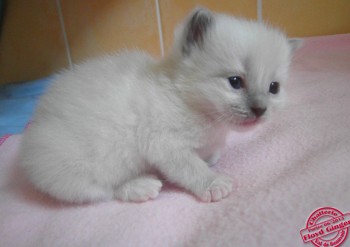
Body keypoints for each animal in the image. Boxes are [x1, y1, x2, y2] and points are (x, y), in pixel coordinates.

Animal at [19, 8, 298, 204]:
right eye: (235, 82)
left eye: (274, 87)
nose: (260, 110)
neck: (185, 97)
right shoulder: (164, 144)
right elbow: (191, 167)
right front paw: (213, 183)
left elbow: (207, 153)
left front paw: (210, 158)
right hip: (80, 173)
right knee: (103, 191)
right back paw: (141, 187)